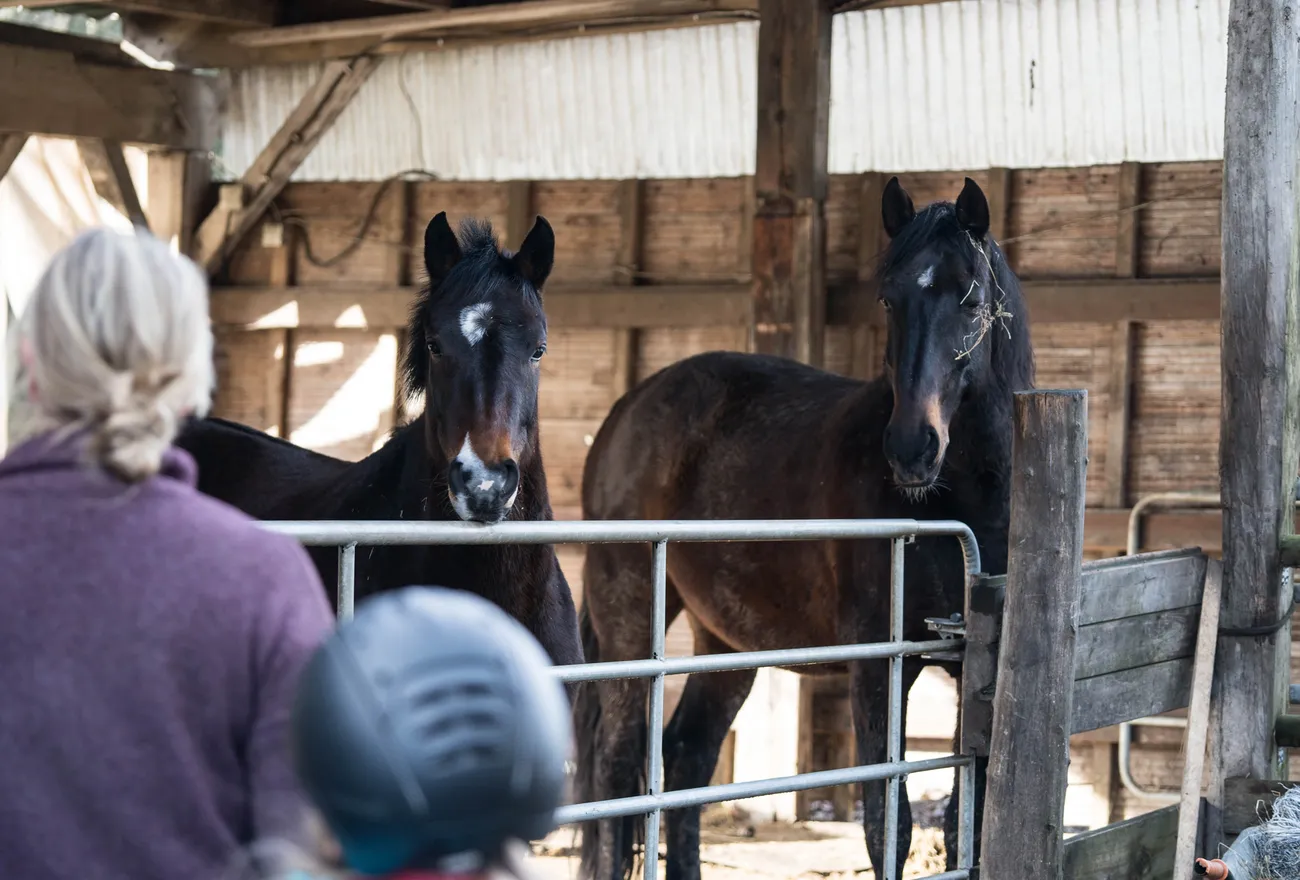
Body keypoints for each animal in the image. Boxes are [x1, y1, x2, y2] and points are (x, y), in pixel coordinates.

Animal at [572, 177, 1035, 879]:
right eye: (889, 297)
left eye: (972, 297)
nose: (912, 448)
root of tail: (626, 410)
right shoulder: (880, 666)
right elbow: (887, 823)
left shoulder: (975, 673)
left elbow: (965, 824)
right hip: (629, 619)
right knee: (618, 768)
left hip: (724, 643)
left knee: (686, 756)